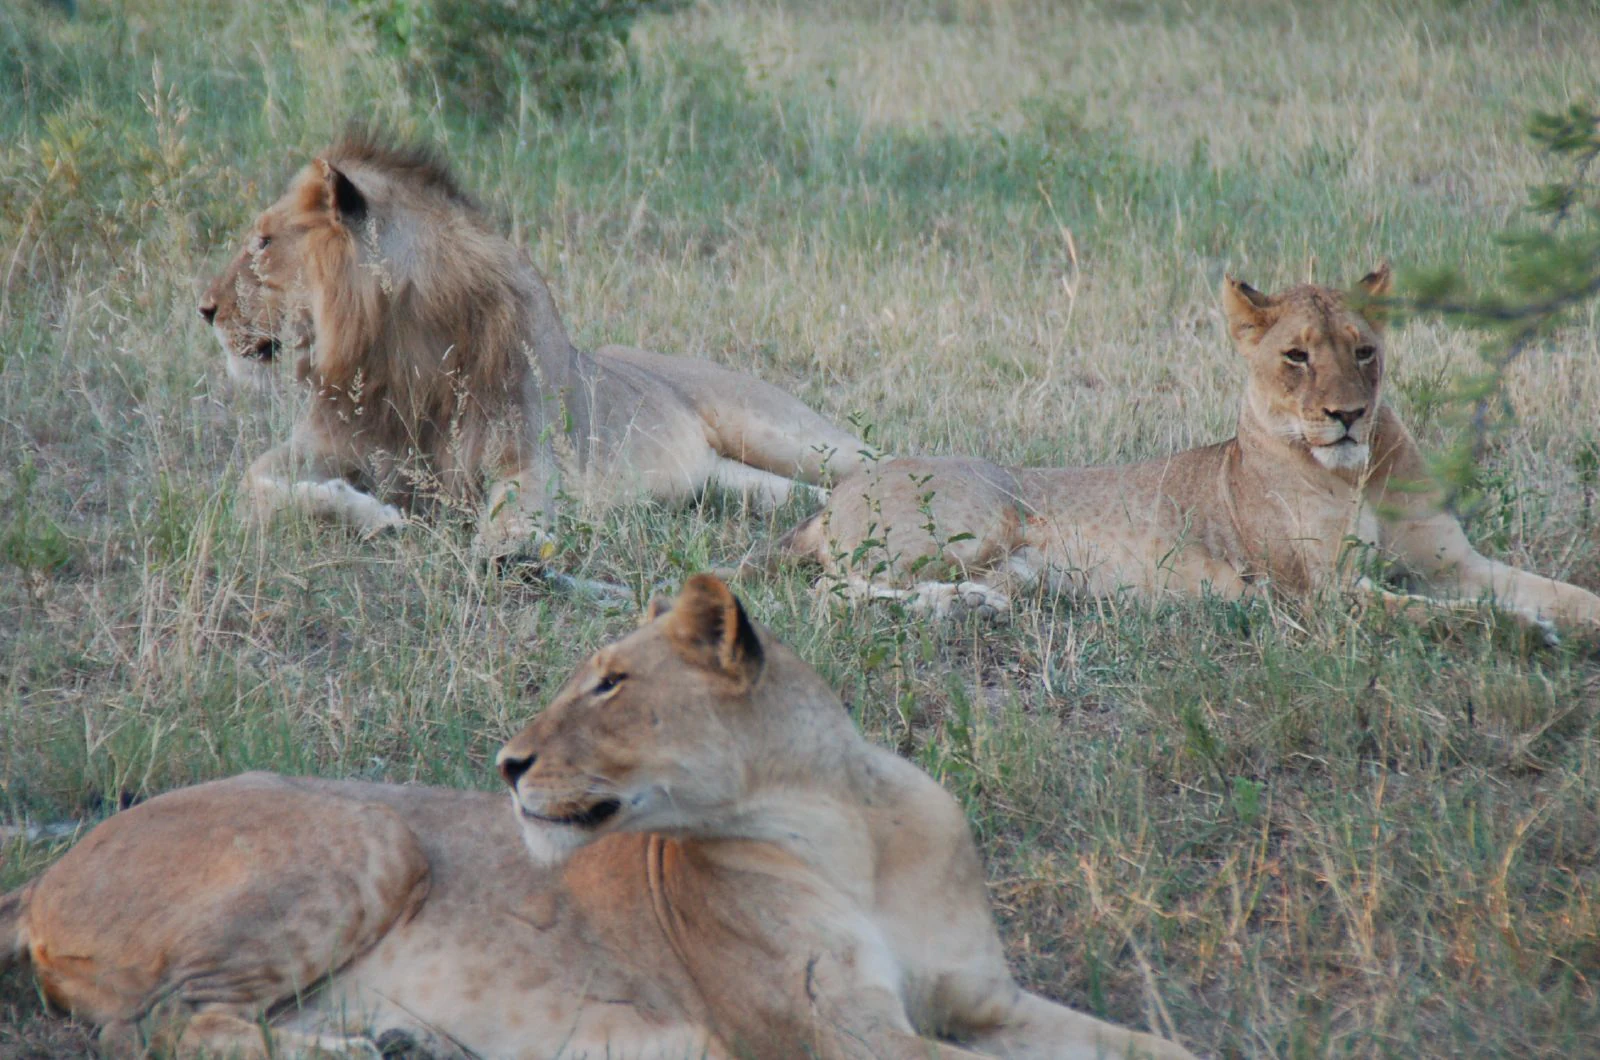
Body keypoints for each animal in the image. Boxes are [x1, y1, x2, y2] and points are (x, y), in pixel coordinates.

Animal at [1, 574, 1196, 1060]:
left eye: (611, 682)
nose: (504, 762)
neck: (846, 830)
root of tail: (48, 871)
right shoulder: (831, 1034)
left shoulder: (984, 1000)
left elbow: (1149, 1046)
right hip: (369, 836)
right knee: (160, 1025)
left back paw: (391, 1038)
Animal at [198, 131, 874, 557]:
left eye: (262, 243)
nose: (204, 309)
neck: (396, 348)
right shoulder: (317, 447)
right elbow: (254, 490)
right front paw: (375, 516)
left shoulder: (526, 454)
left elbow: (514, 512)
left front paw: (509, 552)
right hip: (725, 481)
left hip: (788, 434)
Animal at [779, 267, 1600, 639]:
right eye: (1297, 356)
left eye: (1364, 351)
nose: (1347, 415)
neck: (1358, 472)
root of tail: (838, 493)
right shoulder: (1326, 596)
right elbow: (1449, 616)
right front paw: (1527, 634)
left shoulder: (1452, 563)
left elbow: (1553, 591)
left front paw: (1569, 617)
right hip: (978, 521)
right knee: (830, 595)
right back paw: (966, 606)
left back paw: (986, 601)